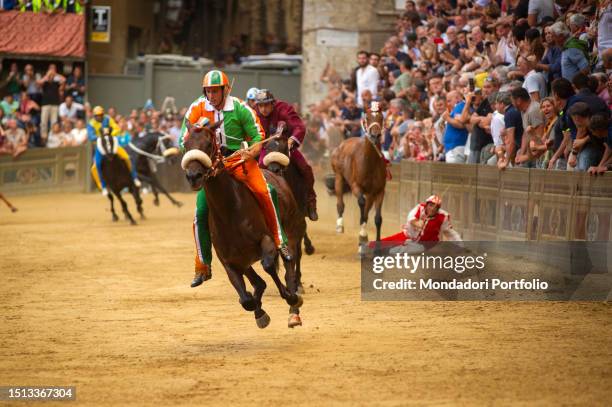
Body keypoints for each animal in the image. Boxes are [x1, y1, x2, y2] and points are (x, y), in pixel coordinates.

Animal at [182, 120, 306, 328]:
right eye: (185, 144)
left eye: (208, 144)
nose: (193, 176)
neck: (229, 213)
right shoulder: (229, 261)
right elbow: (246, 299)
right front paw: (259, 312)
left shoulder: (266, 240)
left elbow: (268, 266)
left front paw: (290, 297)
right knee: (258, 282)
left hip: (292, 233)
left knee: (289, 267)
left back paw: (294, 312)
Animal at [330, 103, 388, 252]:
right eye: (367, 117)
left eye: (381, 117)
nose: (375, 135)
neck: (370, 162)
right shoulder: (356, 186)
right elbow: (361, 203)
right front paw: (362, 237)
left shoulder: (379, 191)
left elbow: (377, 218)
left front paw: (377, 246)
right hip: (339, 177)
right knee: (340, 203)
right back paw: (339, 226)